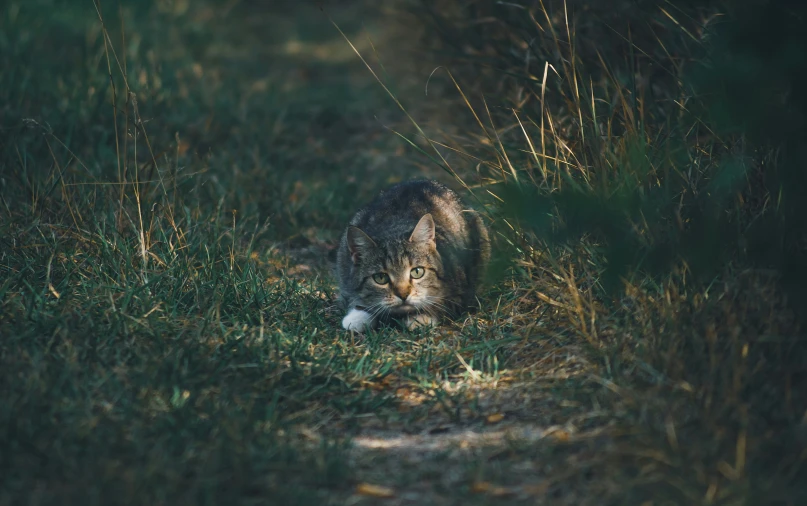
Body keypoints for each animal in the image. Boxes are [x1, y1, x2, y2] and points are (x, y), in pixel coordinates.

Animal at [336, 179, 490, 332]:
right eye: (380, 278)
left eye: (417, 272)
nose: (403, 295)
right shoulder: (345, 279)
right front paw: (358, 316)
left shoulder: (462, 294)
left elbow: (441, 305)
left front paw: (420, 318)